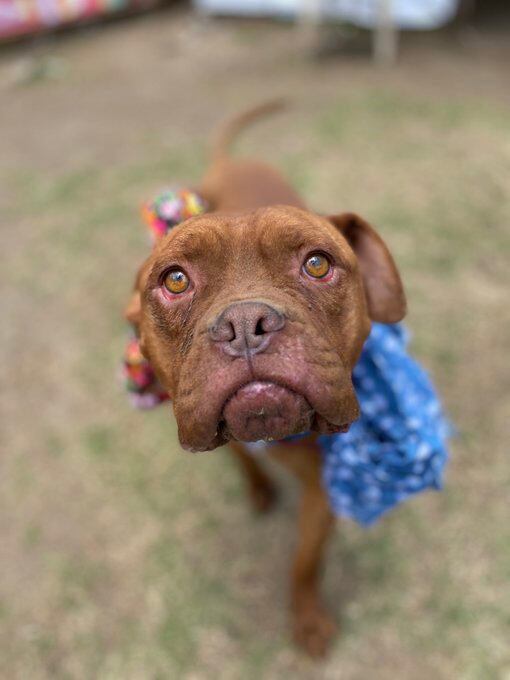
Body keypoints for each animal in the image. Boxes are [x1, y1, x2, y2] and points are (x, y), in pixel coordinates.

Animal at [126, 102, 406, 660]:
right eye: (175, 279)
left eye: (317, 263)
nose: (245, 324)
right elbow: (239, 458)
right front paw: (256, 488)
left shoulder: (322, 494)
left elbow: (304, 563)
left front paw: (308, 620)